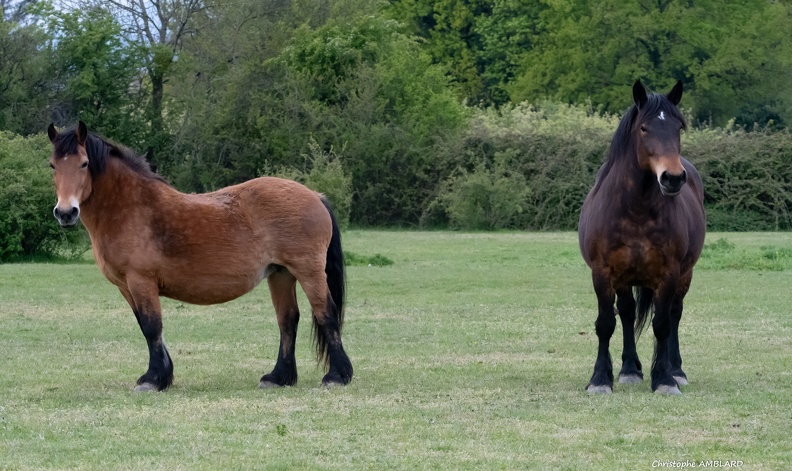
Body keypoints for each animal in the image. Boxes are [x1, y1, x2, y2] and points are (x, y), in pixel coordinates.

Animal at [45, 121, 350, 390]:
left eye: (84, 164)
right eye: (53, 165)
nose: (66, 213)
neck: (132, 209)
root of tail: (315, 195)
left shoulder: (141, 281)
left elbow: (152, 327)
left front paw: (153, 380)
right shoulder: (126, 287)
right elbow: (147, 327)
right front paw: (162, 375)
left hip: (308, 271)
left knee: (325, 313)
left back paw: (337, 376)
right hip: (281, 275)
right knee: (287, 321)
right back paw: (278, 377)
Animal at [580, 81, 704, 394]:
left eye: (678, 127)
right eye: (644, 128)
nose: (673, 177)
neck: (636, 209)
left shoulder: (669, 274)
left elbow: (662, 324)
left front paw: (665, 379)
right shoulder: (603, 273)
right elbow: (606, 323)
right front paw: (600, 379)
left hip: (685, 275)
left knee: (674, 314)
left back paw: (676, 370)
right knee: (626, 313)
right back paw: (629, 369)